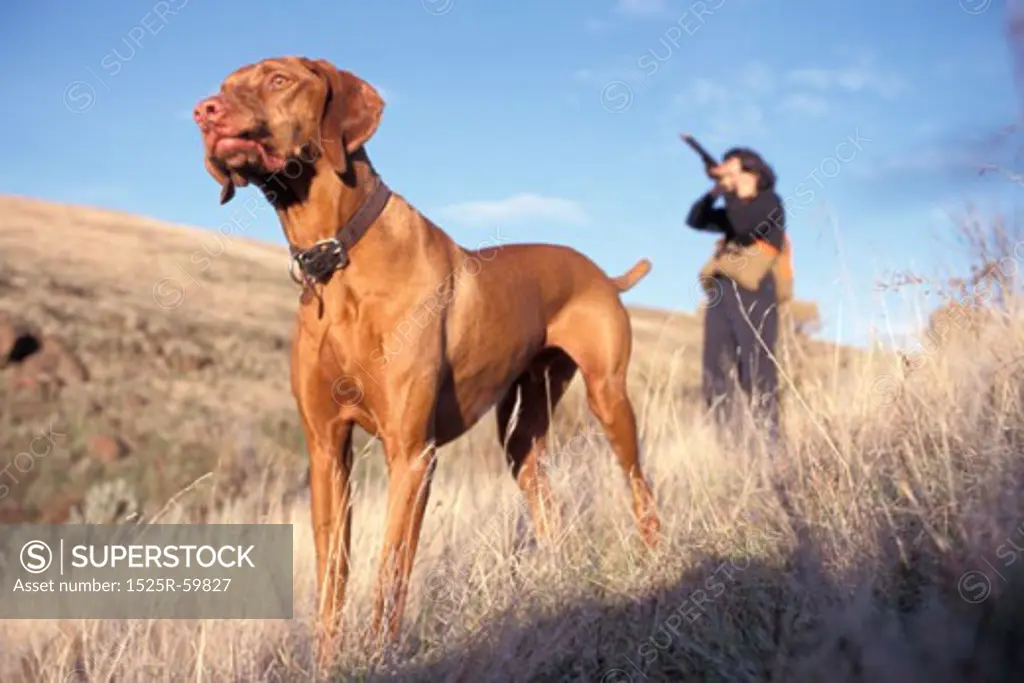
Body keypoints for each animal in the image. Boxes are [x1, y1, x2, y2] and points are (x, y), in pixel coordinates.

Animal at [193, 56, 663, 663]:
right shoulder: (326, 451)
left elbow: (391, 568)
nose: (204, 111)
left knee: (639, 484)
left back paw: (656, 559)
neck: (338, 259)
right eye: (226, 86)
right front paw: (329, 663)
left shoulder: (412, 453)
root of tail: (600, 272)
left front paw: (379, 659)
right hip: (522, 426)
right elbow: (332, 573)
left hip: (609, 397)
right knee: (542, 493)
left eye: (278, 80)